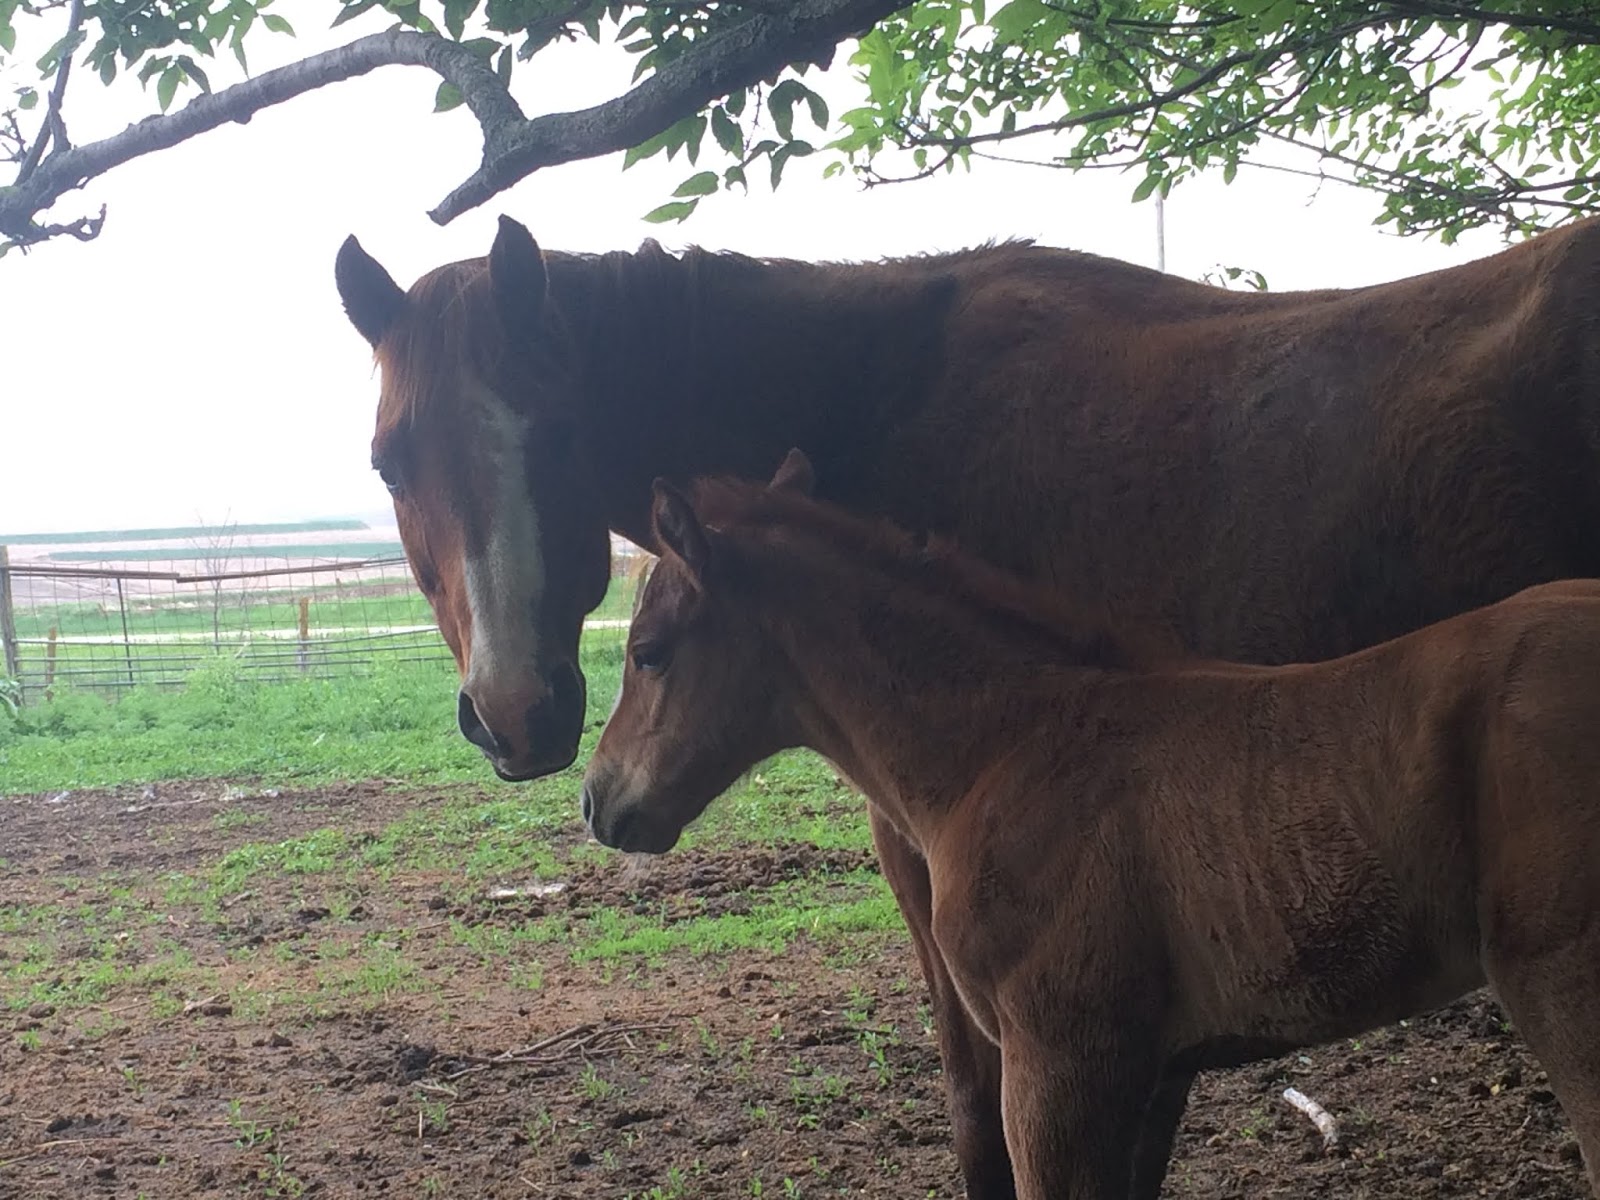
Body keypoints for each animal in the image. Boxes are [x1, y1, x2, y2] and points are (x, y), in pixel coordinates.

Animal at [582, 451, 1600, 1200]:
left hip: (1564, 988)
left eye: (649, 652)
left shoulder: (1059, 1063)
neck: (1003, 750)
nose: (597, 801)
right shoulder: (1144, 1072)